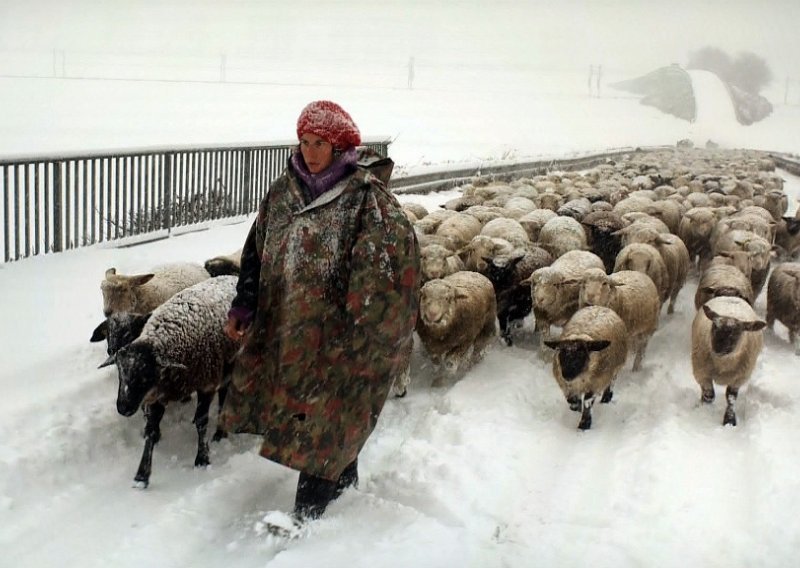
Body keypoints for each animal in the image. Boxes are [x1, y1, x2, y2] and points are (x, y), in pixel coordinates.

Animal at [111, 276, 239, 488]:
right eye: (121, 373)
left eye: (145, 376)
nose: (123, 408)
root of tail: (231, 277)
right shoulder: (157, 394)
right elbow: (151, 431)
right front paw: (141, 476)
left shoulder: (207, 382)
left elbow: (202, 421)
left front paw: (202, 458)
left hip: (230, 361)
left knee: (224, 393)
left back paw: (220, 433)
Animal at [692, 298, 764, 426]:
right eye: (714, 327)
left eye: (735, 332)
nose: (717, 348)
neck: (723, 362)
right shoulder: (702, 373)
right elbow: (709, 395)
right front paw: (704, 409)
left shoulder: (738, 379)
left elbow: (731, 398)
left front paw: (729, 421)